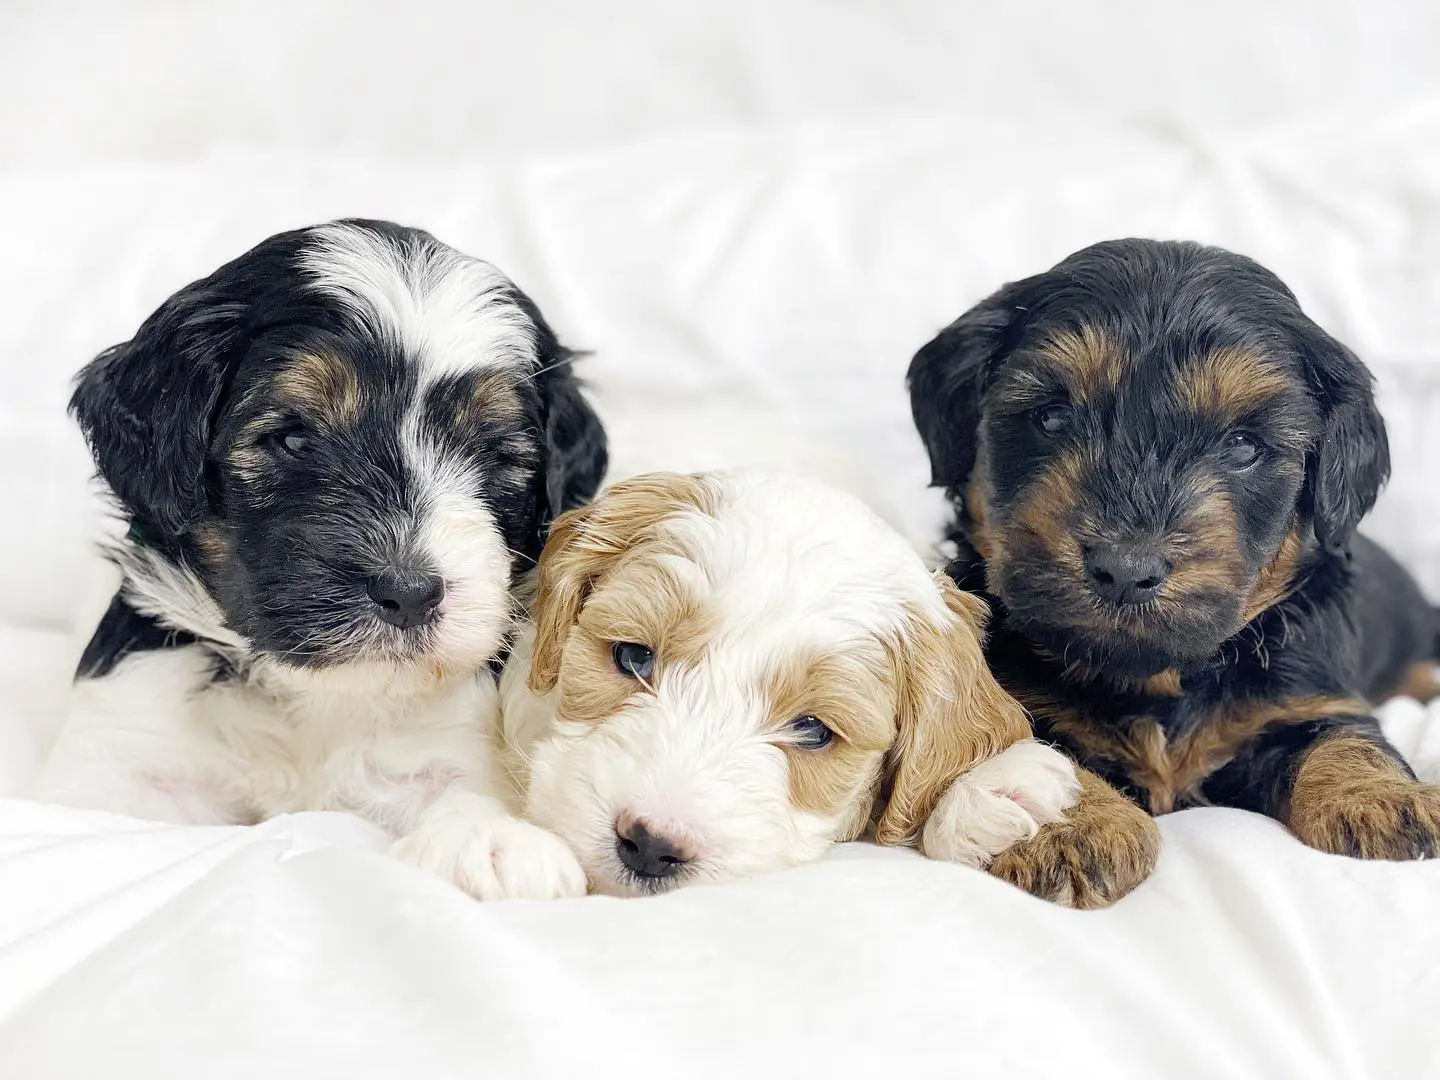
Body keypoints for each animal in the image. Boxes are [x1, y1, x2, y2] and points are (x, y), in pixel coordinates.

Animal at [33, 220, 607, 904]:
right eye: (292, 439)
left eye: (495, 456)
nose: (409, 592)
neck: (308, 695)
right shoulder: (124, 745)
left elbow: (461, 782)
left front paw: (490, 839)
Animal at [910, 240, 1440, 910]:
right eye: (1052, 418)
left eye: (1243, 446)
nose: (1125, 569)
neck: (1157, 679)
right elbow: (1032, 742)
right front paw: (1068, 823)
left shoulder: (1305, 694)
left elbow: (1342, 736)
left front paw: (1388, 798)